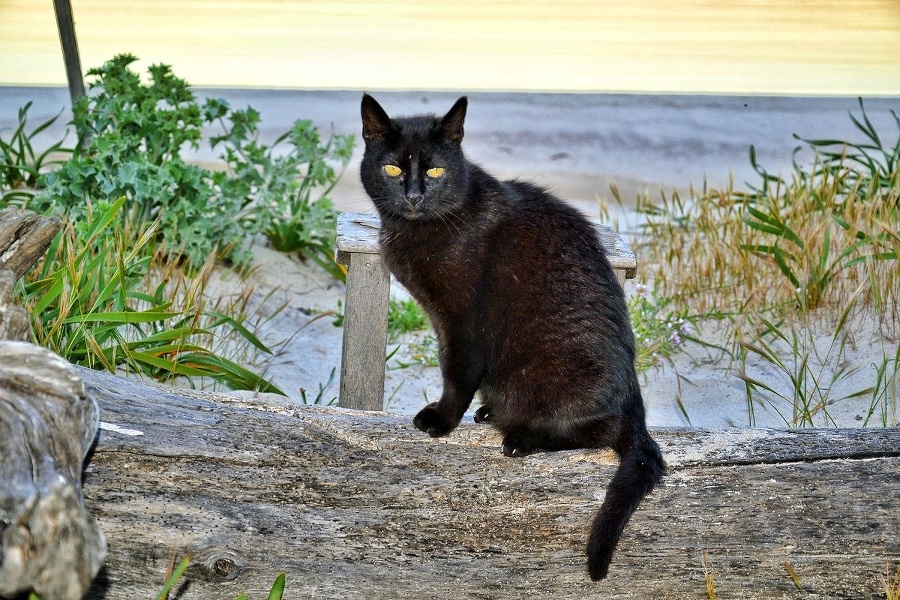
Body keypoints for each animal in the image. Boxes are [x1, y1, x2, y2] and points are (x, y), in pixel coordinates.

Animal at [360, 95, 668, 580]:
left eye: (435, 171)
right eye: (393, 169)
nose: (414, 195)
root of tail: (635, 402)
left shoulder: (462, 319)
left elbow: (457, 372)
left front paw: (442, 421)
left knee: (601, 432)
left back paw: (523, 438)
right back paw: (492, 413)